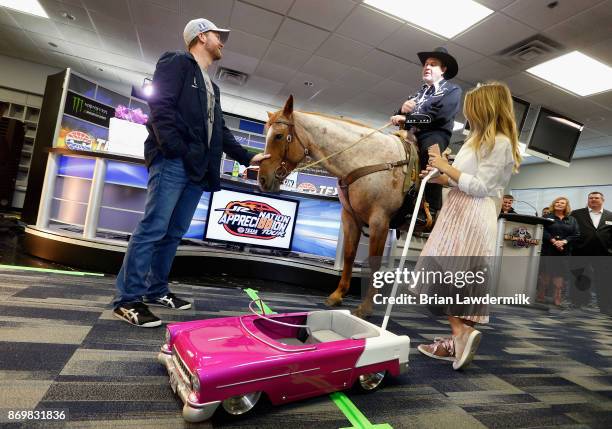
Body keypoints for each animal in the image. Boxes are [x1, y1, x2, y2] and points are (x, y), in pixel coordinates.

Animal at [256, 97, 420, 318]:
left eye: (279, 136)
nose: (262, 179)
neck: (371, 160)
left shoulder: (380, 221)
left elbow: (374, 262)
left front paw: (366, 307)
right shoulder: (350, 217)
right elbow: (349, 254)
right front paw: (337, 295)